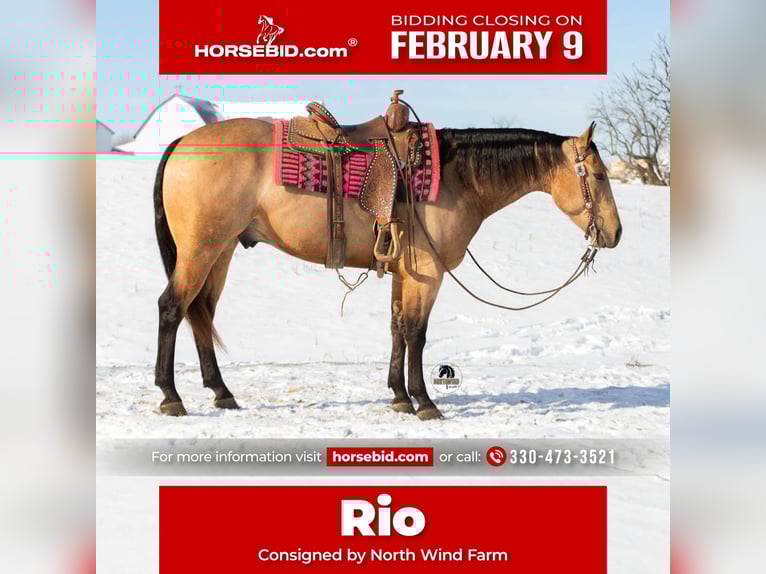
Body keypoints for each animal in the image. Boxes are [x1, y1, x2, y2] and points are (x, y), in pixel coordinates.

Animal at [152, 119, 622, 420]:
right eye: (599, 175)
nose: (615, 233)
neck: (455, 178)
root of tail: (183, 141)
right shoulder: (427, 273)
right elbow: (417, 333)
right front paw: (424, 402)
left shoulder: (403, 273)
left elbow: (397, 328)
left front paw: (398, 396)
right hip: (201, 250)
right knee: (172, 308)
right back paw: (171, 397)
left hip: (221, 251)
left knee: (201, 313)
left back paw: (221, 392)